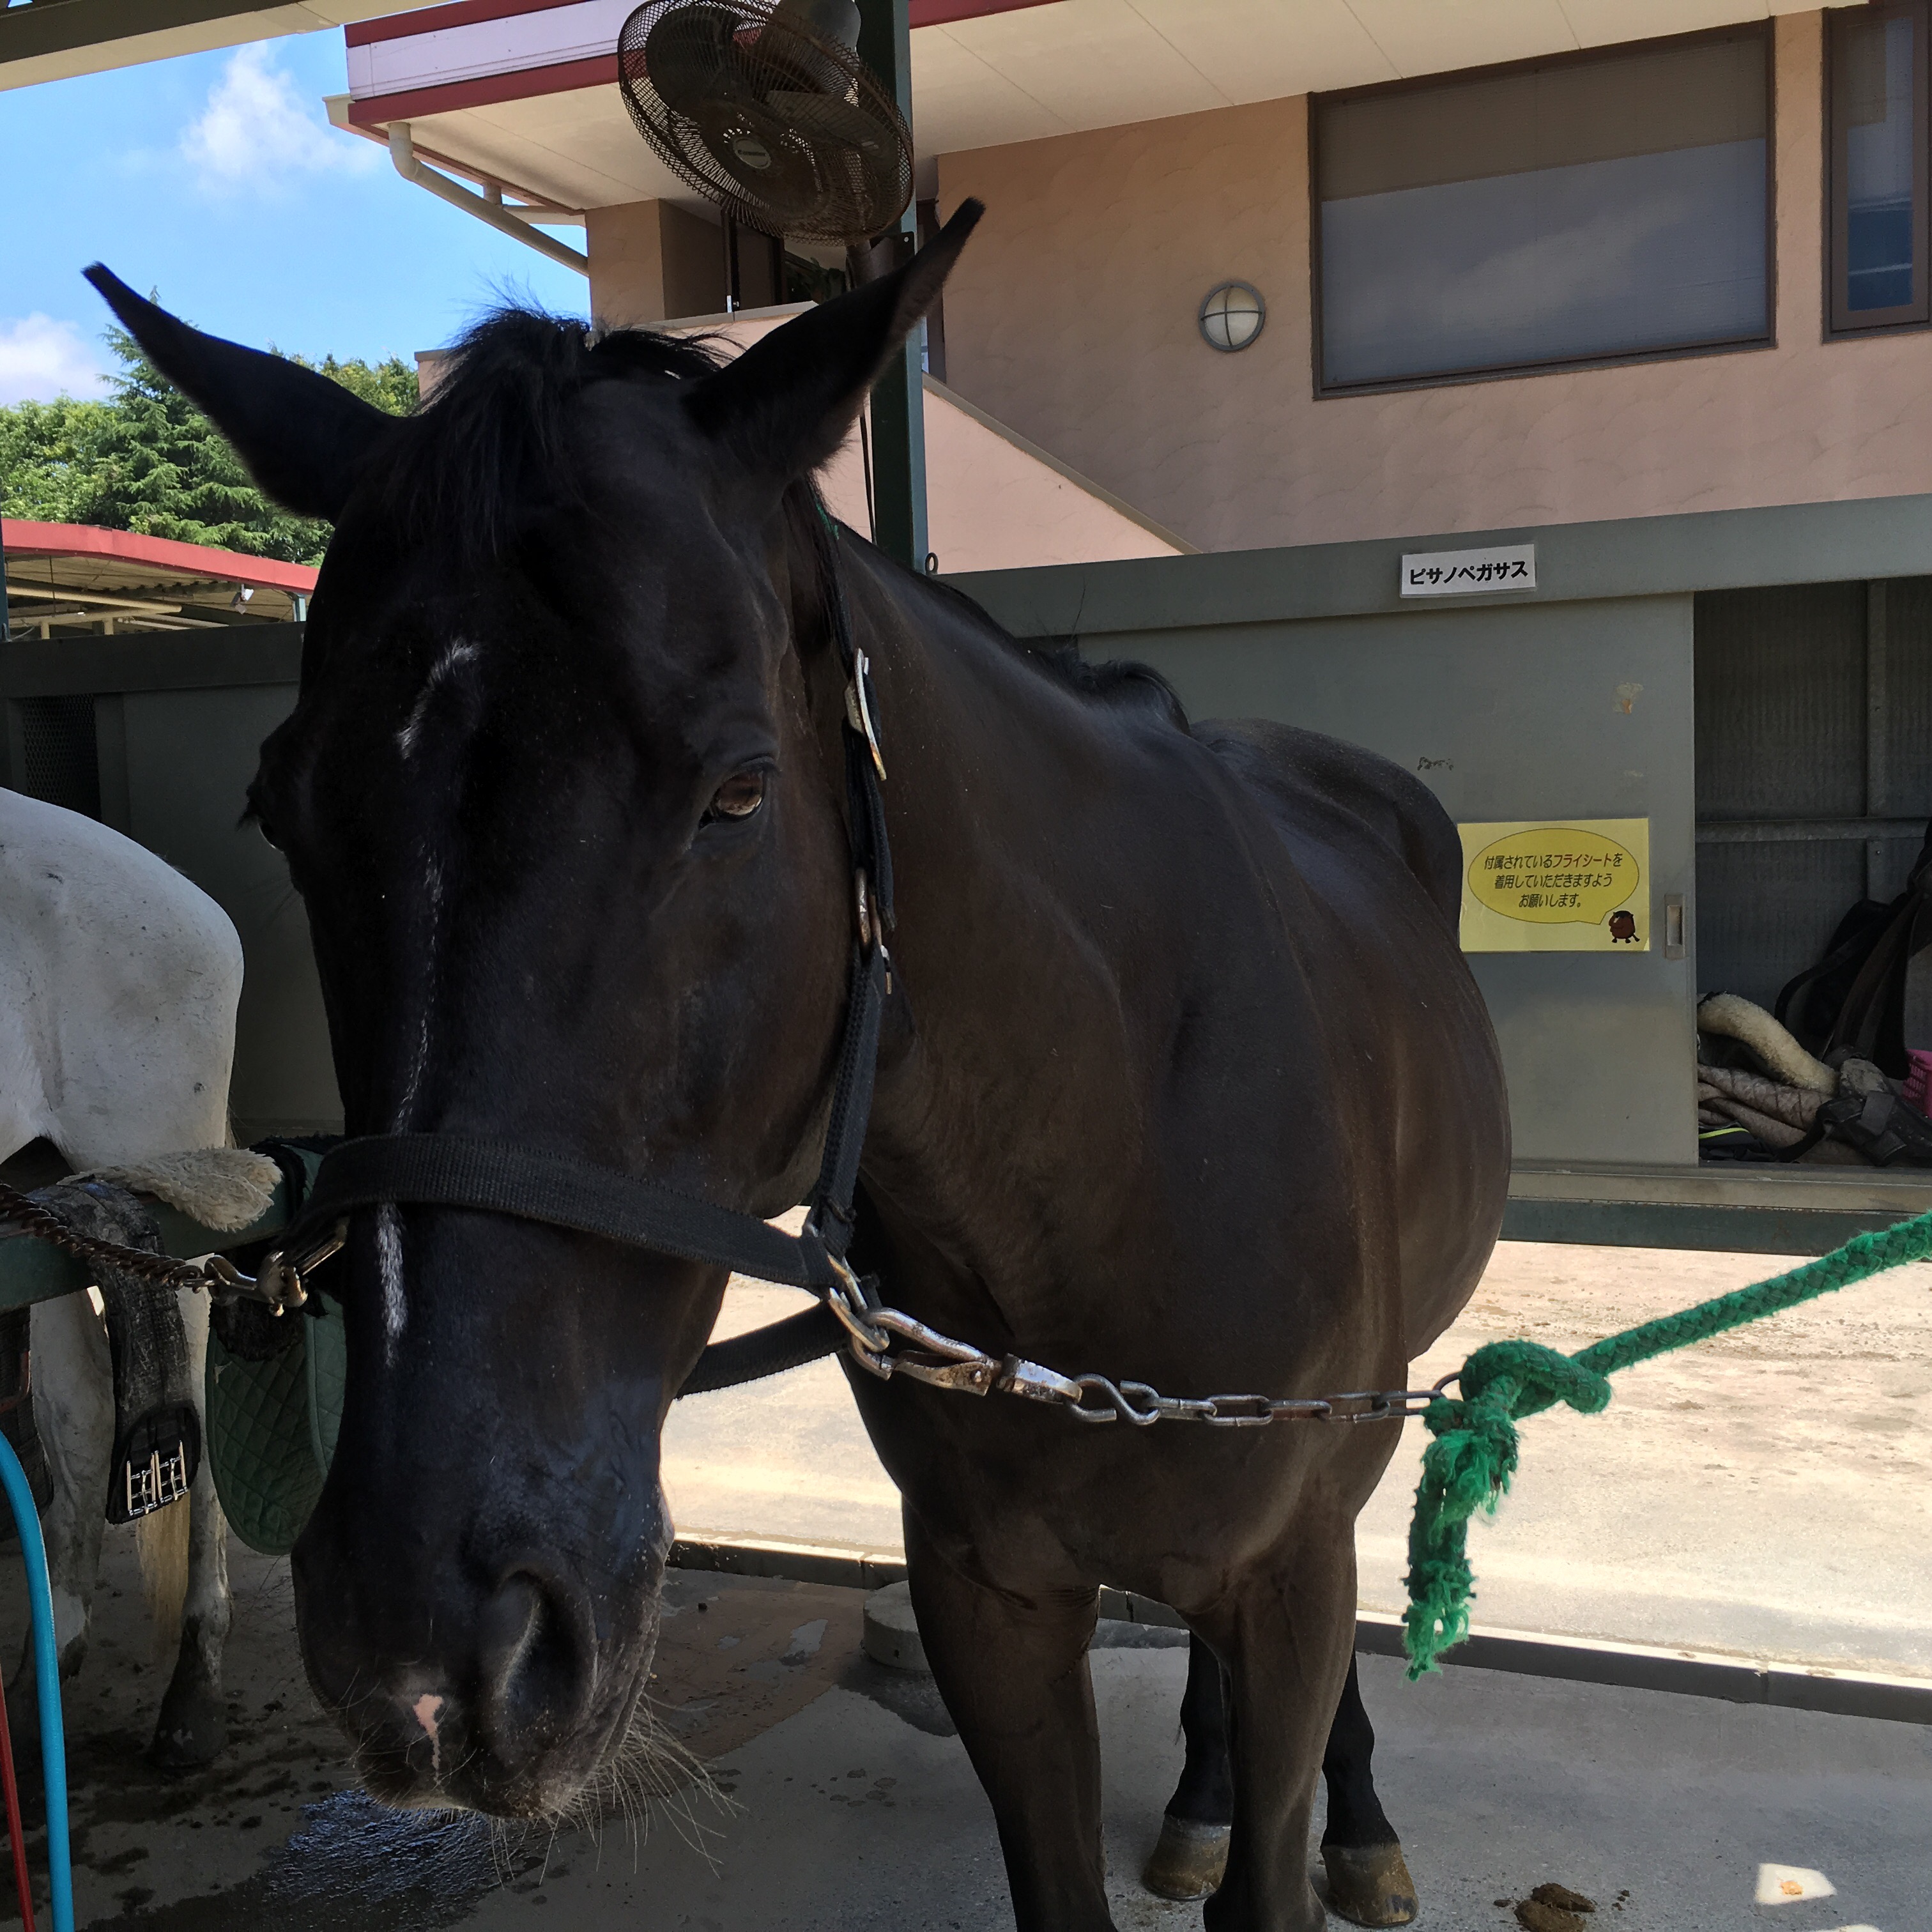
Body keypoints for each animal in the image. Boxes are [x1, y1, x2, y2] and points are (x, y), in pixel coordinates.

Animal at [86, 202, 1509, 1931]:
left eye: (740, 795)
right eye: (283, 807)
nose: (429, 1645)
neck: (1121, 1157)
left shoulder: (1289, 1566)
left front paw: (1319, 1820)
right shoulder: (985, 1596)